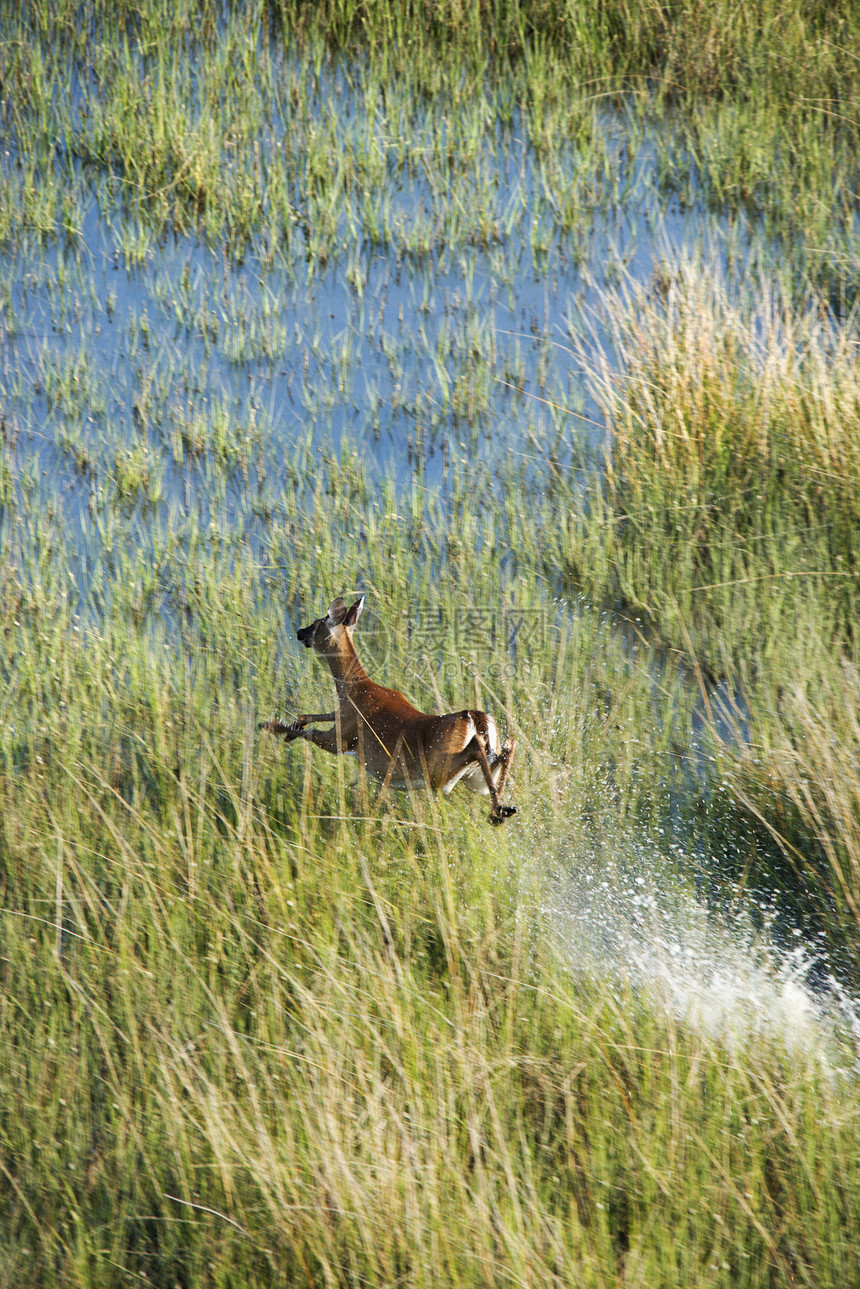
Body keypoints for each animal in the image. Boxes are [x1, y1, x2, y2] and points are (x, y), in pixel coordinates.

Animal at [260, 592, 518, 824]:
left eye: (316, 624)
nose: (299, 632)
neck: (354, 688)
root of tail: (475, 718)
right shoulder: (343, 715)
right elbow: (316, 715)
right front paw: (292, 726)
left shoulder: (342, 739)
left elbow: (313, 733)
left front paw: (271, 725)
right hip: (473, 779)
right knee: (507, 747)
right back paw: (501, 811)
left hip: (439, 769)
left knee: (480, 747)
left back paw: (500, 811)